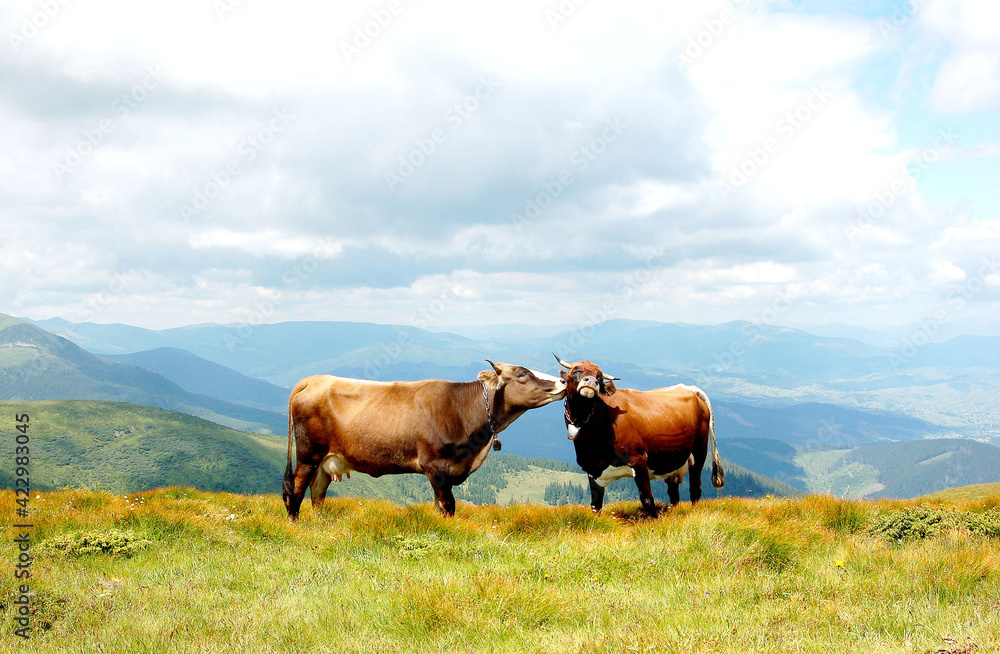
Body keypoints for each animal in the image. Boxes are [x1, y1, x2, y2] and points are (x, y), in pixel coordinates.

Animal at [282, 360, 566, 519]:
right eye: (522, 374)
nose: (563, 380)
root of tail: (313, 380)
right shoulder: (436, 466)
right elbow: (448, 505)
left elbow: (439, 506)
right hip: (308, 454)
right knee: (296, 490)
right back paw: (295, 524)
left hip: (325, 460)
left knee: (317, 492)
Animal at [554, 354, 724, 516]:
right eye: (575, 371)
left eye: (600, 377)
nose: (592, 381)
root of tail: (689, 388)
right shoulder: (592, 469)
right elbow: (596, 506)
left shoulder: (638, 460)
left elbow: (647, 499)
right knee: (673, 492)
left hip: (699, 451)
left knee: (695, 488)